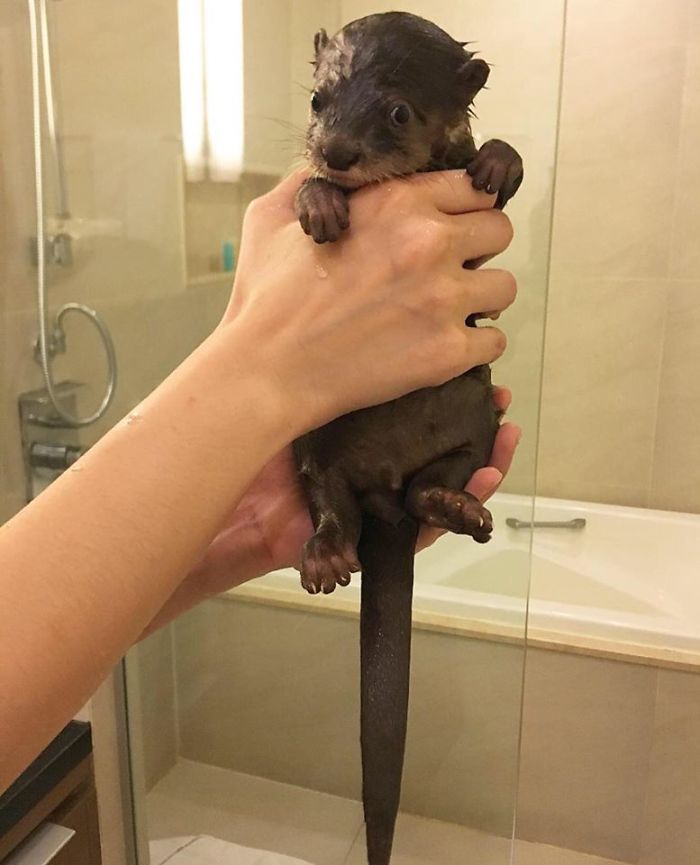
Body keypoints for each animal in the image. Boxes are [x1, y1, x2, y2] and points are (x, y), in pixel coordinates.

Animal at [292, 13, 523, 865]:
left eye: (397, 111)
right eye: (319, 99)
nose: (336, 152)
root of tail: (388, 496)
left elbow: (498, 170)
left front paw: (497, 160)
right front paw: (319, 202)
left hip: (476, 407)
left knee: (445, 472)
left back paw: (456, 505)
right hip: (317, 430)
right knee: (326, 489)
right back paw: (327, 555)